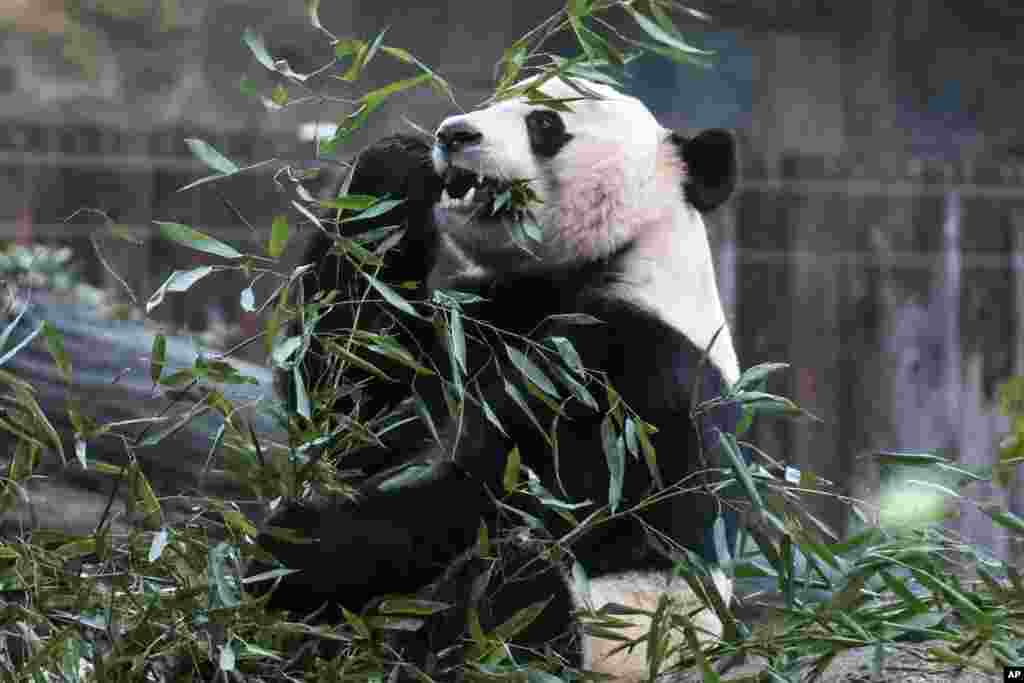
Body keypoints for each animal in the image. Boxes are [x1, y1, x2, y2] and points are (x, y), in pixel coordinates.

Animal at [258, 77, 745, 679]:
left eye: (545, 123)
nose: (454, 134)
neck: (626, 252)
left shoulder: (618, 366)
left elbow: (479, 486)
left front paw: (286, 550)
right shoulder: (492, 312)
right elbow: (353, 390)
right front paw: (398, 163)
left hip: (611, 638)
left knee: (520, 585)